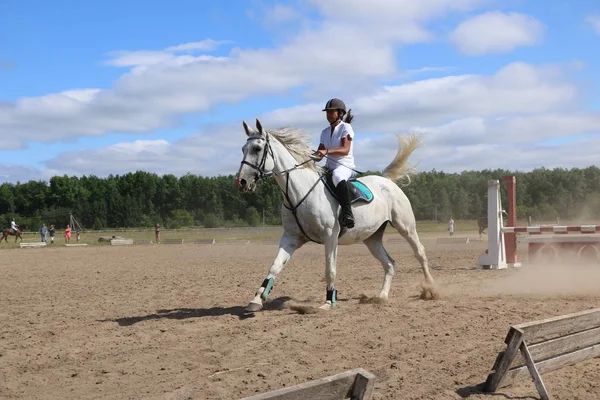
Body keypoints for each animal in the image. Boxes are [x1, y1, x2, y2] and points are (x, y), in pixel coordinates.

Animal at [233, 119, 436, 312]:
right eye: (243, 149)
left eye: (257, 148)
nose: (241, 182)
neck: (300, 192)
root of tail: (386, 181)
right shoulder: (291, 238)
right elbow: (274, 267)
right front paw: (256, 300)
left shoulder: (330, 237)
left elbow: (329, 270)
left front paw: (329, 302)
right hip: (372, 238)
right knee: (389, 263)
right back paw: (382, 296)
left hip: (405, 227)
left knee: (420, 252)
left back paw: (431, 289)